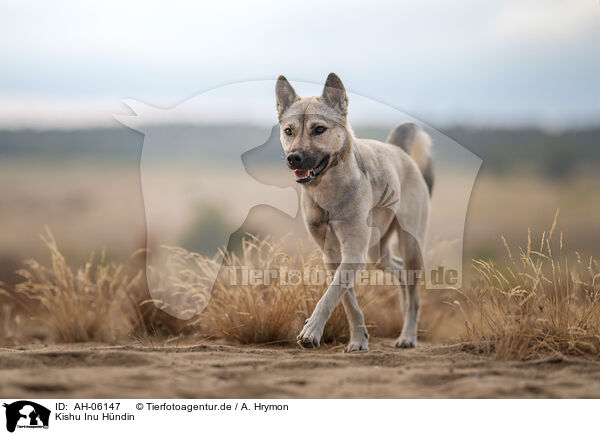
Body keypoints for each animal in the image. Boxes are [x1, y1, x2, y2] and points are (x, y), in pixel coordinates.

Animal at [274, 71, 434, 350]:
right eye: (289, 131)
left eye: (319, 129)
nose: (294, 158)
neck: (328, 192)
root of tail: (399, 151)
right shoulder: (333, 255)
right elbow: (347, 300)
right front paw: (359, 338)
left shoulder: (352, 252)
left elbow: (330, 296)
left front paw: (311, 331)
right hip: (376, 253)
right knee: (400, 272)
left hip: (410, 245)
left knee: (414, 295)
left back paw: (408, 336)